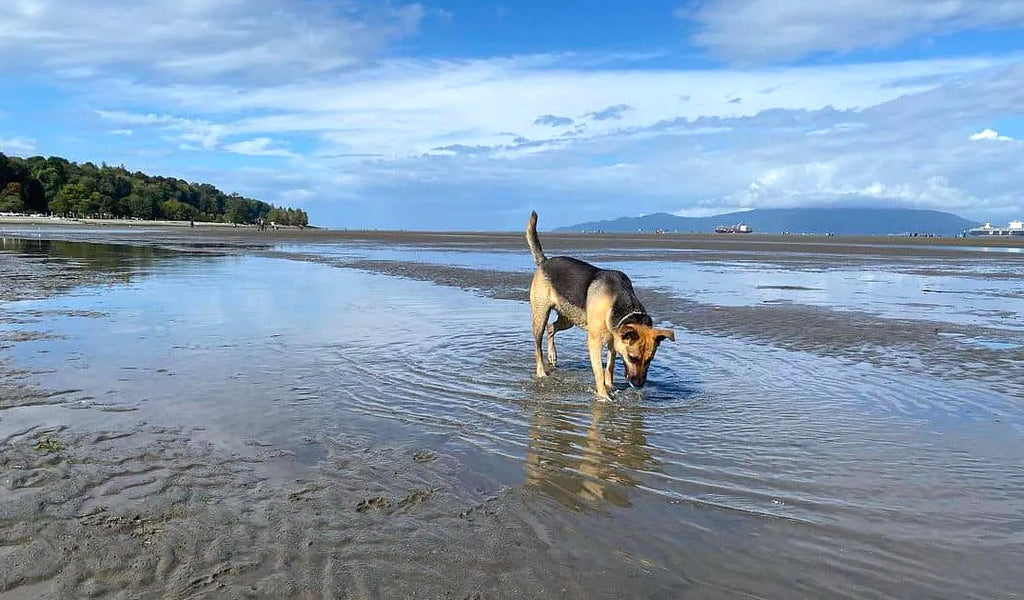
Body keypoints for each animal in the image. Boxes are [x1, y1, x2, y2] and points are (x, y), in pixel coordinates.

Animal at [528, 209, 671, 397]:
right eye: (633, 358)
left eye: (650, 359)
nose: (639, 385)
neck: (618, 302)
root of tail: (544, 262)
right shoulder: (594, 343)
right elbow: (599, 372)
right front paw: (604, 396)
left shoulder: (614, 341)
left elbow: (609, 367)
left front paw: (610, 386)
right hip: (541, 315)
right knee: (538, 345)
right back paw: (541, 372)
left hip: (569, 318)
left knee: (552, 328)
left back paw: (552, 355)